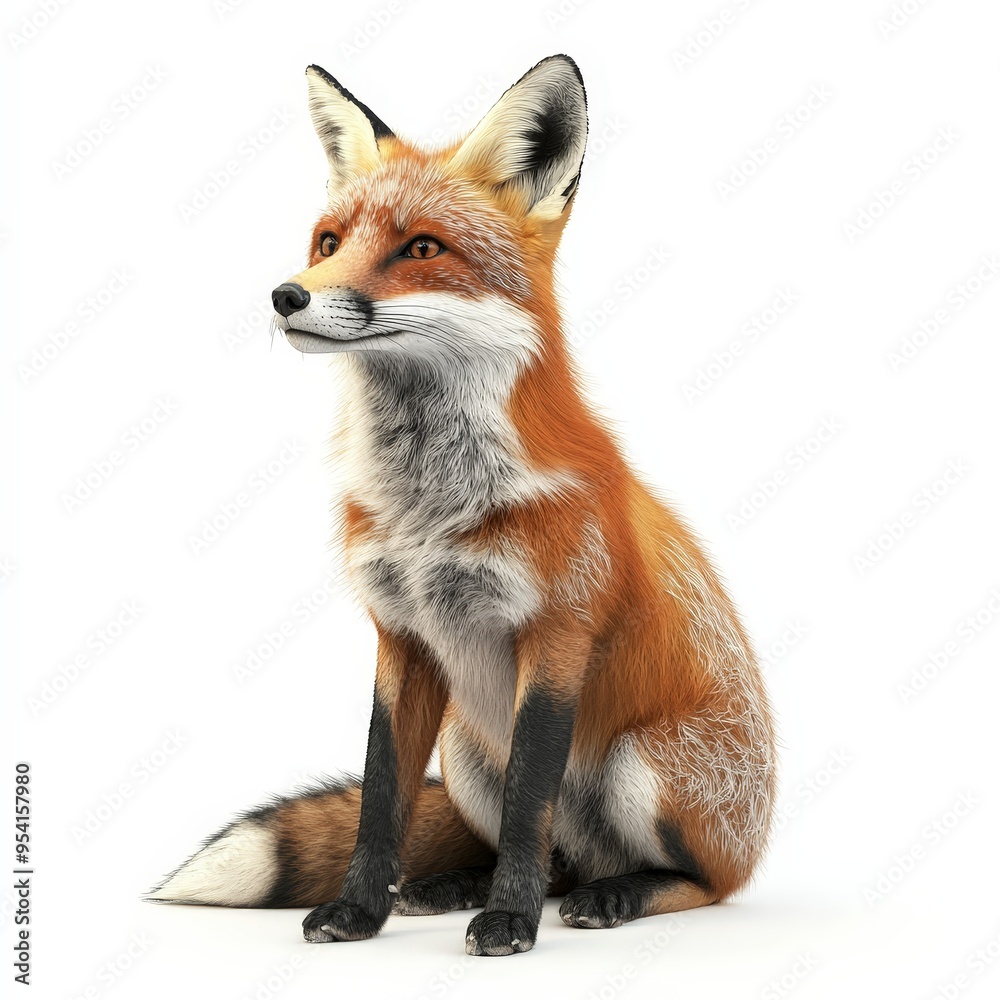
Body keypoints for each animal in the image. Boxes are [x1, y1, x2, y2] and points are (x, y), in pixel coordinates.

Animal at [148, 54, 777, 957]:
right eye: (329, 243)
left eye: (420, 248)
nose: (286, 295)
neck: (428, 513)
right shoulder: (401, 635)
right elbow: (383, 798)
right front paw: (359, 911)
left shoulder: (556, 635)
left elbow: (526, 802)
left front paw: (510, 923)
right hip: (466, 745)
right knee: (555, 858)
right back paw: (453, 885)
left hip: (642, 768)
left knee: (695, 881)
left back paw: (615, 894)